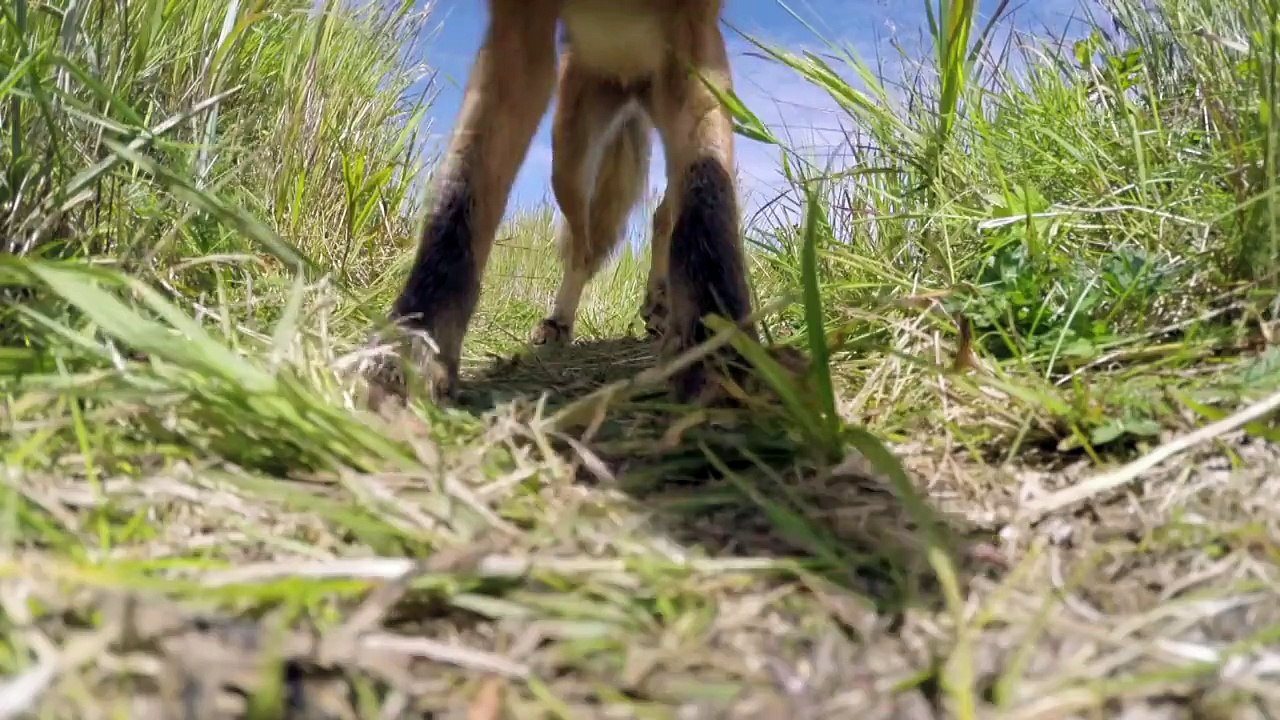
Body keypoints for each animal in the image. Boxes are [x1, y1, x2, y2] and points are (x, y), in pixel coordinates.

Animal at [367, 0, 756, 407]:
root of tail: (627, 76)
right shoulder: (518, 30)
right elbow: (460, 195)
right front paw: (414, 346)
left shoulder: (696, 40)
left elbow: (709, 199)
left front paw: (719, 348)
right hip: (568, 163)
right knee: (584, 248)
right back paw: (563, 321)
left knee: (664, 212)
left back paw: (660, 303)